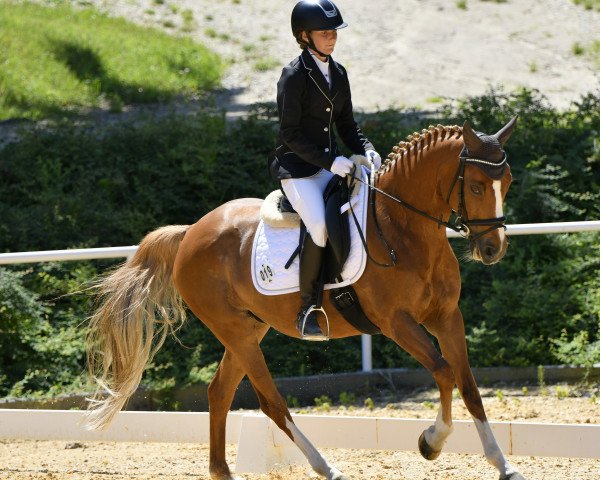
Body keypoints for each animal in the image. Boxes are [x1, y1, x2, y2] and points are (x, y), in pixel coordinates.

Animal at [85, 117, 524, 480]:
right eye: (476, 185)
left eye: (508, 183)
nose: (493, 249)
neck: (404, 230)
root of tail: (191, 231)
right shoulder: (397, 323)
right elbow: (444, 373)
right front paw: (430, 442)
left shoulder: (447, 316)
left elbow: (468, 386)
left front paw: (504, 466)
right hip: (236, 331)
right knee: (271, 404)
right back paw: (328, 469)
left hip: (248, 329)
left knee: (219, 392)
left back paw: (223, 472)